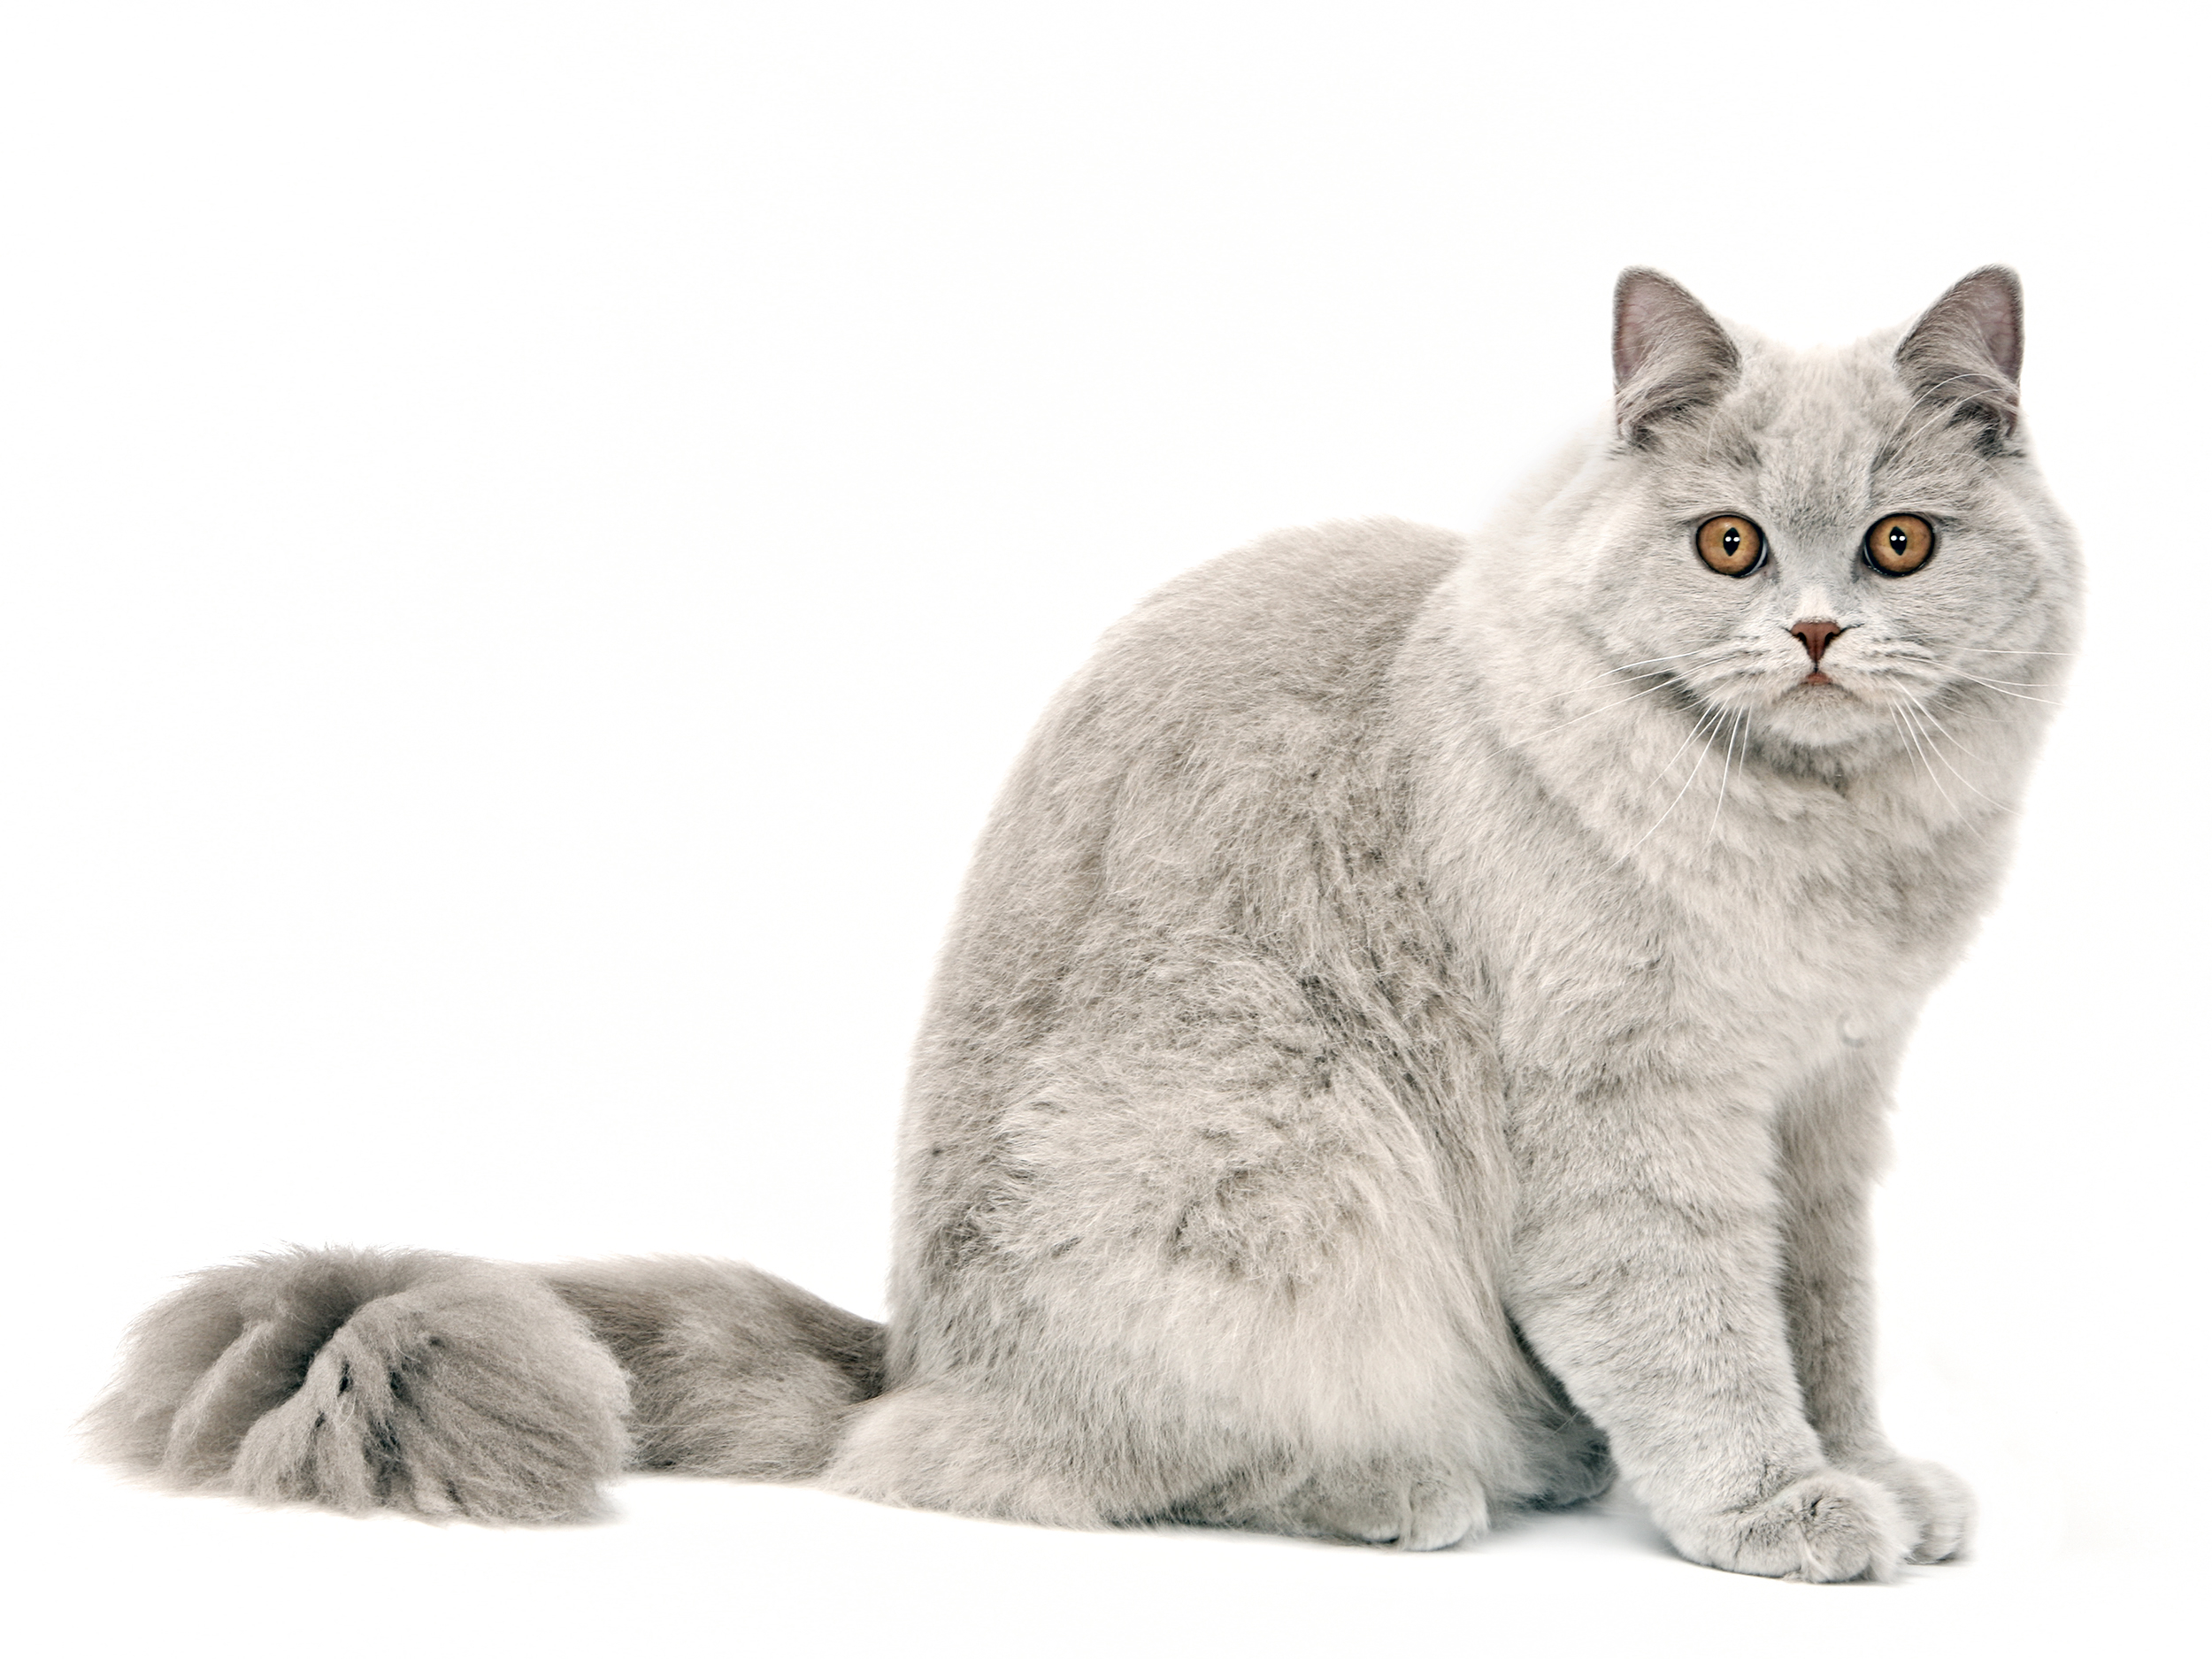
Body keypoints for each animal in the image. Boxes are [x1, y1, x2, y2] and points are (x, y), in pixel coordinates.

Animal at [90, 270, 2088, 1584]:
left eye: (1898, 547)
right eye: (1730, 545)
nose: (1816, 633)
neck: (1809, 850)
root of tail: (904, 1350)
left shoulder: (1823, 1115)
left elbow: (1823, 1326)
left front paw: (1877, 1475)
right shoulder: (1635, 1125)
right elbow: (1704, 1346)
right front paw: (1779, 1514)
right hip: (1297, 1152)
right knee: (1026, 1468)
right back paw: (1404, 1490)